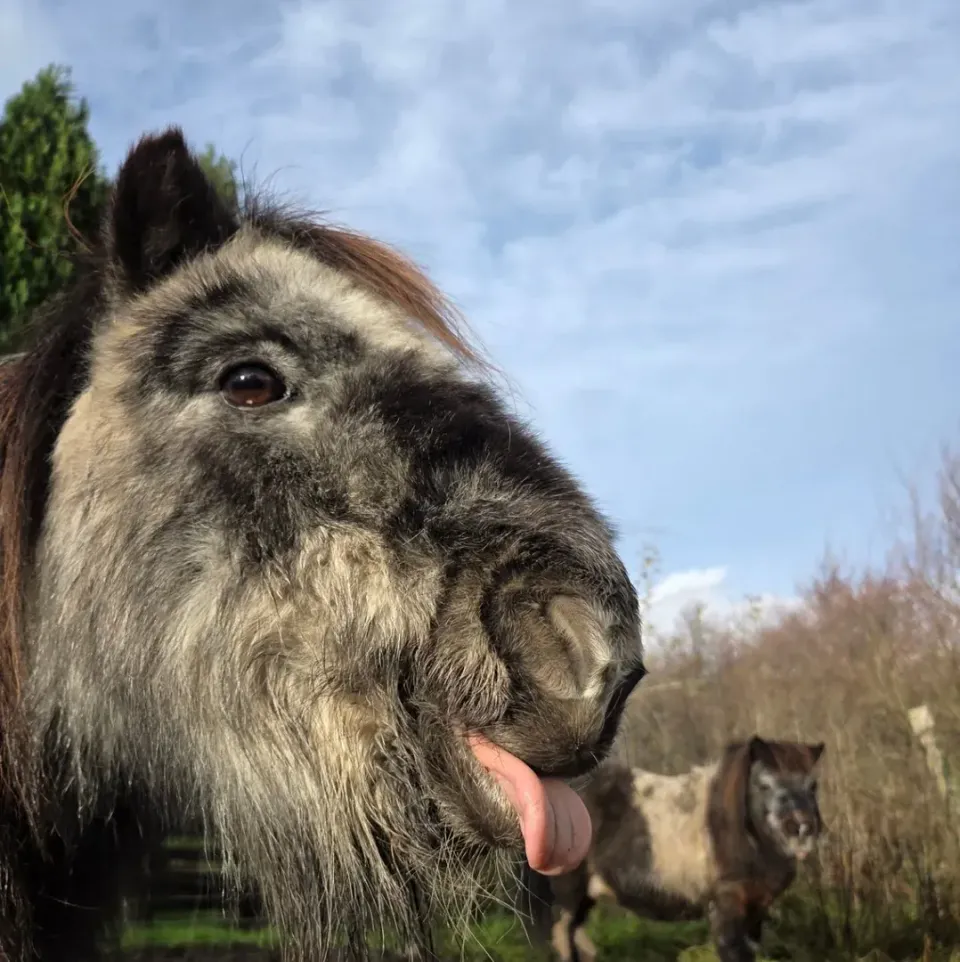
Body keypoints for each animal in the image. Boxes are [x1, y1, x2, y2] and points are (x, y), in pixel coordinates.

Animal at [541, 735, 825, 962]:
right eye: (764, 784)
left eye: (813, 786)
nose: (802, 828)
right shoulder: (725, 909)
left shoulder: (756, 910)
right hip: (567, 892)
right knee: (563, 937)